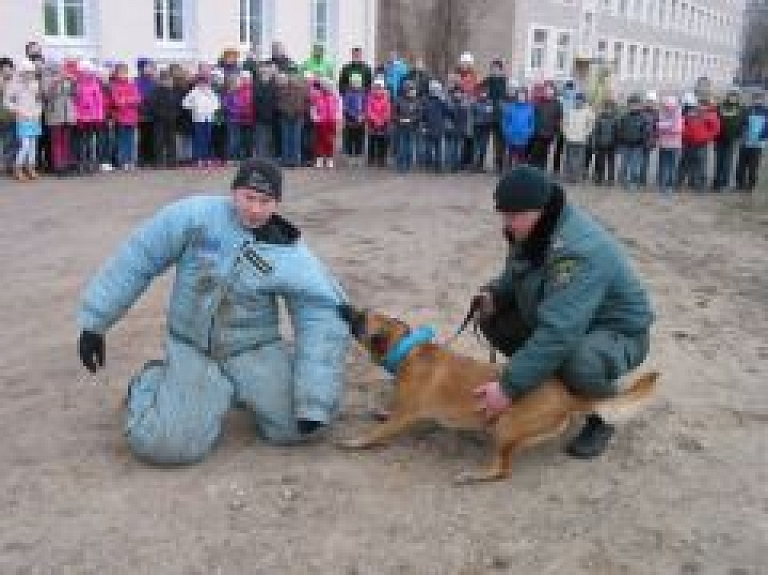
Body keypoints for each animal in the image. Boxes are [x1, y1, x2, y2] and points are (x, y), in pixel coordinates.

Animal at [340, 308, 656, 484]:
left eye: (360, 317)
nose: (344, 306)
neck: (406, 350)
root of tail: (568, 397)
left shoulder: (404, 416)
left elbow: (376, 433)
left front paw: (355, 441)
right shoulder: (405, 411)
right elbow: (389, 414)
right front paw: (381, 411)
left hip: (505, 427)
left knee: (502, 470)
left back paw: (473, 475)